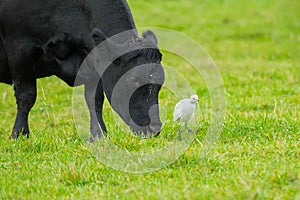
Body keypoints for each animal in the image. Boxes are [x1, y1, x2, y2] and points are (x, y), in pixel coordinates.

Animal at [0, 0, 164, 141]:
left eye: (161, 81)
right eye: (133, 79)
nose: (155, 128)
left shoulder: (92, 61)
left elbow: (95, 100)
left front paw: (99, 135)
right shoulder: (21, 49)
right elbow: (26, 97)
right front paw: (20, 134)